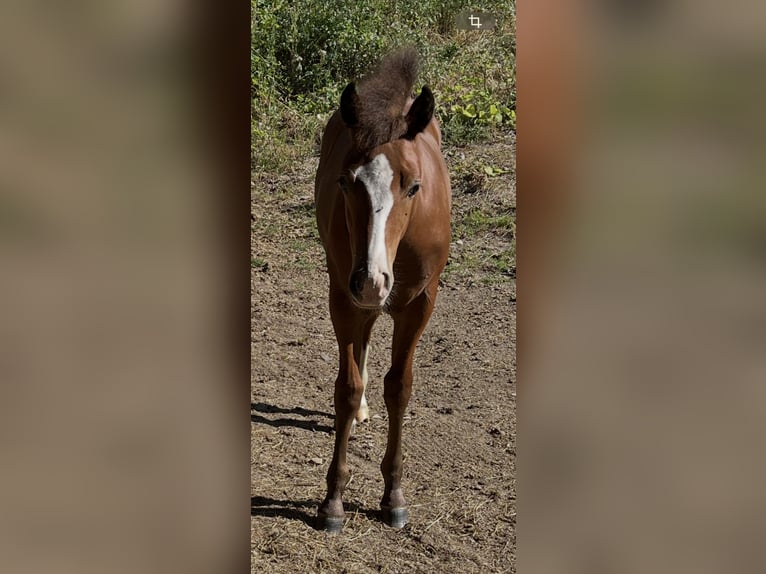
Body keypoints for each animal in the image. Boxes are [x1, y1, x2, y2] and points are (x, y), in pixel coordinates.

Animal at [313, 49, 452, 533]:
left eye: (414, 186)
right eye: (344, 181)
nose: (374, 279)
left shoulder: (419, 304)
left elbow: (401, 387)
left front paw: (393, 496)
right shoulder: (343, 295)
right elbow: (347, 386)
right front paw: (333, 501)